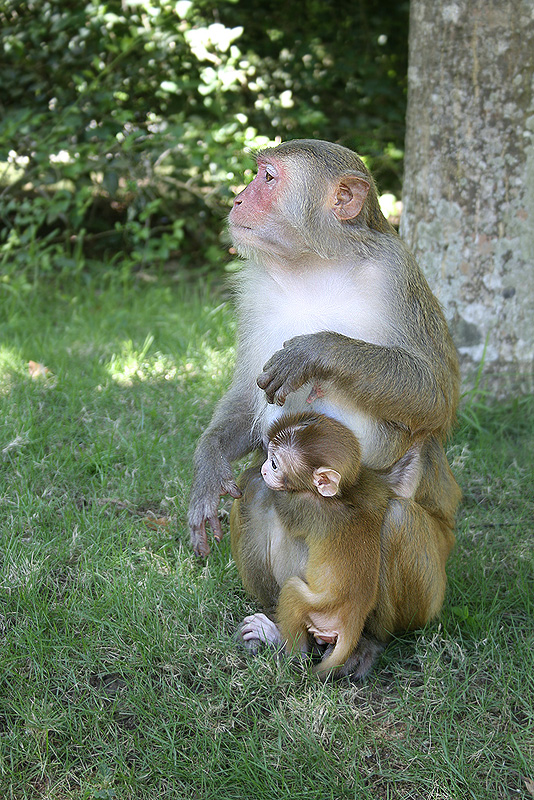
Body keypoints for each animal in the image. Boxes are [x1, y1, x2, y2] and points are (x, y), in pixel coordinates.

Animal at [258, 412, 390, 680]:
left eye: (274, 464)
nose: (264, 469)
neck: (339, 497)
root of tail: (352, 620)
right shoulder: (369, 492)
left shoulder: (306, 506)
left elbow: (284, 505)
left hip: (316, 608)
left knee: (292, 592)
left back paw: (283, 646)